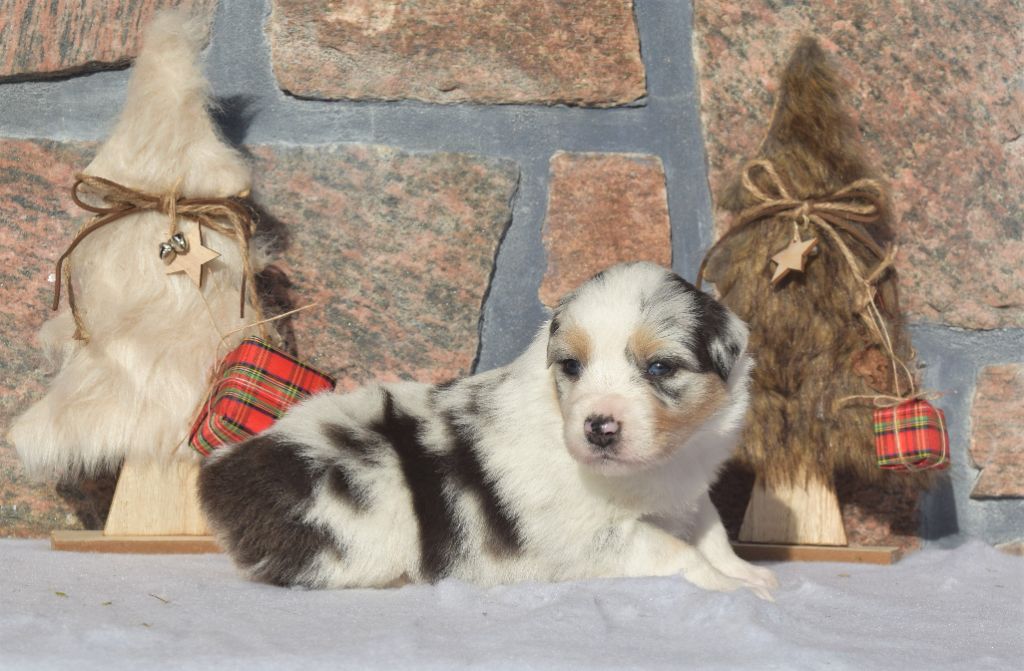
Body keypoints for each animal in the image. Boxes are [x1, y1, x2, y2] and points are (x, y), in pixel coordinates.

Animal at [199, 262, 777, 598]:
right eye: (571, 366)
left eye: (659, 367)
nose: (598, 428)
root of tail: (224, 470)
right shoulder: (596, 538)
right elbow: (677, 553)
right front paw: (735, 589)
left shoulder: (690, 491)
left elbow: (713, 532)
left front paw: (745, 573)